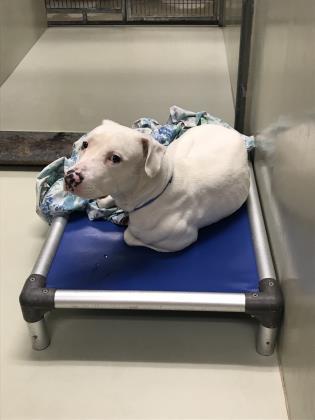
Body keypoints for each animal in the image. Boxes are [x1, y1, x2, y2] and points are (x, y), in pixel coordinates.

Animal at [64, 121, 251, 253]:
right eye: (85, 144)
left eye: (115, 158)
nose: (70, 177)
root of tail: (229, 129)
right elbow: (104, 203)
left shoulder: (180, 240)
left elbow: (128, 237)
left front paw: (126, 224)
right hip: (181, 144)